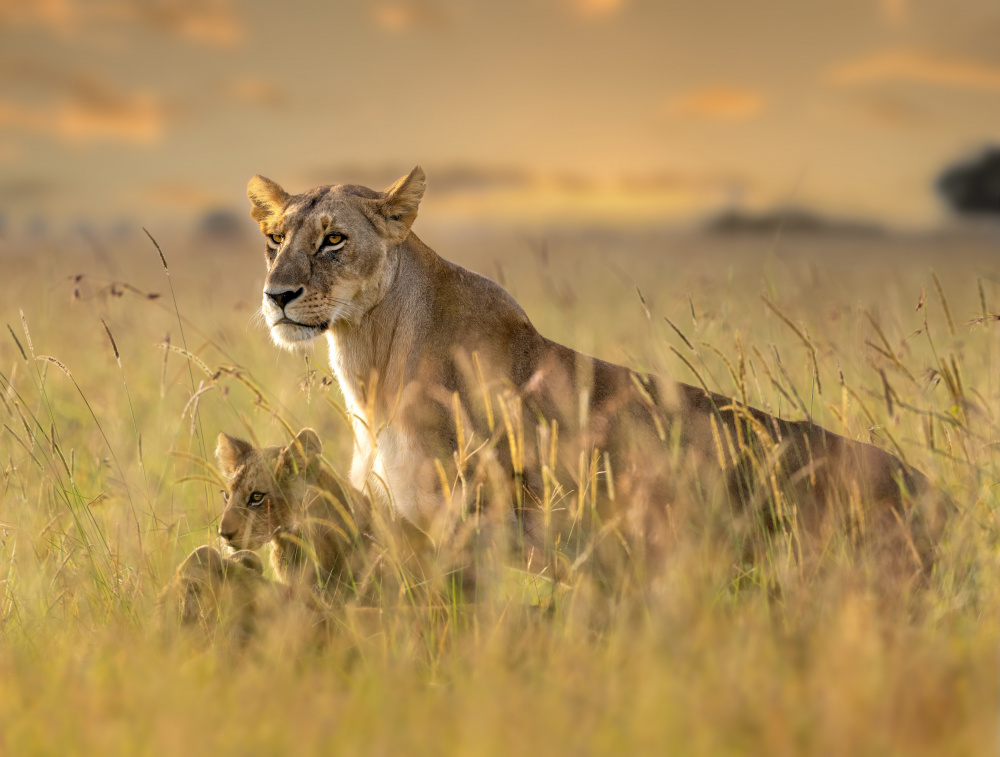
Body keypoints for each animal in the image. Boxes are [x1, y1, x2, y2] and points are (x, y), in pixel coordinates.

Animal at [245, 167, 937, 569]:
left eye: (334, 240)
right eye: (275, 239)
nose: (277, 294)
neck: (371, 364)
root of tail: (938, 495)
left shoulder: (466, 534)